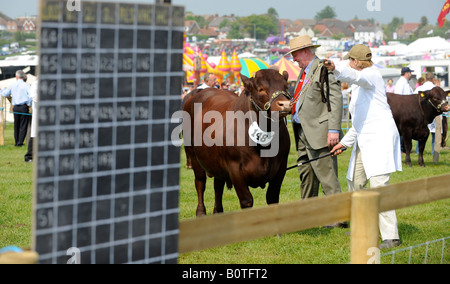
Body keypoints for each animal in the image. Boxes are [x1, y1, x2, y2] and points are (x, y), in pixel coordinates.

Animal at [182, 69, 292, 215]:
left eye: (286, 87)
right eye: (261, 89)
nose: (285, 105)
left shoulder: (281, 167)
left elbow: (272, 198)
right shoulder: (235, 169)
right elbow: (247, 201)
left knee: (218, 185)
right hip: (193, 154)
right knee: (200, 182)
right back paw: (200, 212)